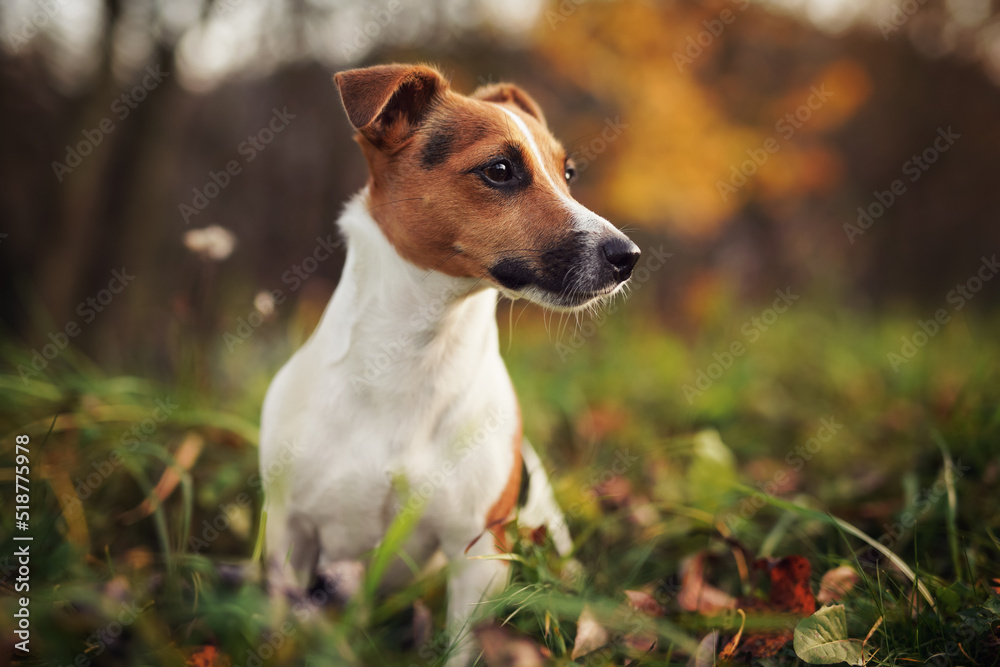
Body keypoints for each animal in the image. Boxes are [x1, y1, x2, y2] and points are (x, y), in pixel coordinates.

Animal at [260, 62, 640, 664]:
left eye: (568, 173)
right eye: (501, 170)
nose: (628, 256)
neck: (418, 355)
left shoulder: (476, 554)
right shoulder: (289, 536)